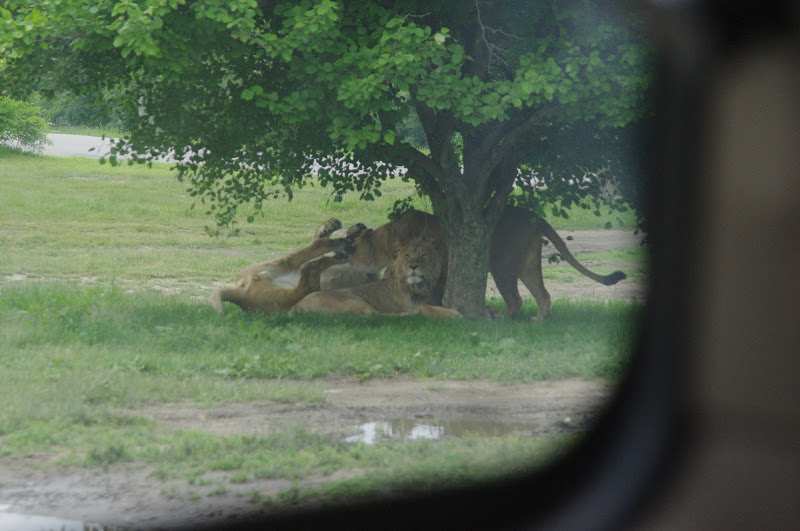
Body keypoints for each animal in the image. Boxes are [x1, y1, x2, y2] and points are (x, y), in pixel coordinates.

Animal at [210, 218, 362, 314]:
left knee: (310, 260)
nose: (361, 225)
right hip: (284, 294)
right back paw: (338, 247)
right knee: (309, 267)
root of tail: (240, 294)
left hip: (277, 269)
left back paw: (334, 236)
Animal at [292, 236, 462, 318]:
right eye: (407, 255)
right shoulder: (411, 303)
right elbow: (431, 309)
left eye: (423, 255)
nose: (413, 266)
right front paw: (455, 314)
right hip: (353, 300)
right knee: (376, 316)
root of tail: (295, 307)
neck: (423, 287)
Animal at [345, 207, 627, 321]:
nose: (345, 260)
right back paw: (539, 320)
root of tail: (531, 213)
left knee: (516, 299)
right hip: (527, 263)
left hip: (501, 265)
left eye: (350, 247)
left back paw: (500, 319)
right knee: (543, 294)